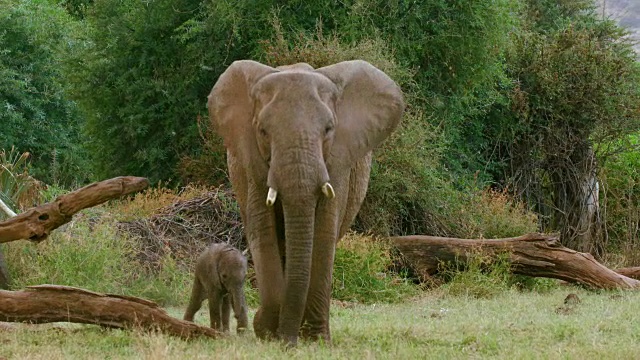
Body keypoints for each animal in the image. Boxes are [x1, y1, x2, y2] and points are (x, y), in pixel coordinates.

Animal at [208, 59, 402, 346]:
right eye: (263, 131)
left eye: (329, 130)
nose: (288, 341)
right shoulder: (252, 162)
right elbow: (263, 231)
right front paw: (268, 331)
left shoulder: (337, 162)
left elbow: (323, 234)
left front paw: (314, 339)